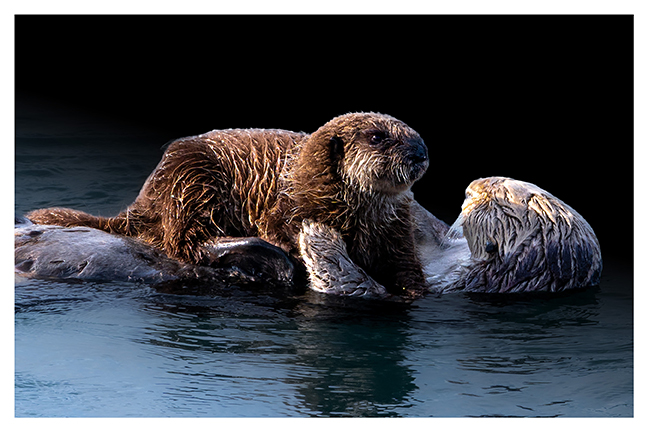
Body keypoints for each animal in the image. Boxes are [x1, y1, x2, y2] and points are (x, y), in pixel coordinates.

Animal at [25, 112, 430, 298]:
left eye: (417, 136)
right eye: (377, 137)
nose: (420, 153)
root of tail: (145, 199)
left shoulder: (396, 228)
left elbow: (407, 269)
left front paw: (410, 290)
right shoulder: (287, 206)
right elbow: (280, 228)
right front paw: (292, 251)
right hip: (192, 177)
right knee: (184, 242)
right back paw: (263, 255)